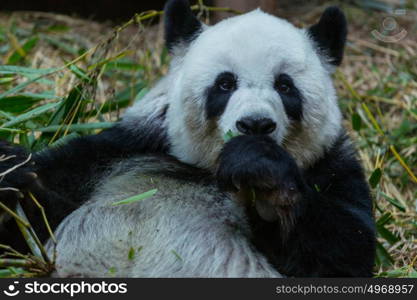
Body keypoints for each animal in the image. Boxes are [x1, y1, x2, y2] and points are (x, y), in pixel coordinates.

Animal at [0, 0, 376, 276]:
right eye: (225, 83)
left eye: (285, 86)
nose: (255, 124)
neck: (210, 169)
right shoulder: (126, 149)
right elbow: (32, 229)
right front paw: (12, 170)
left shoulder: (330, 164)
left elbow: (344, 254)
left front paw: (263, 176)